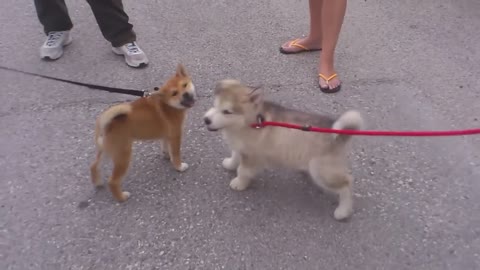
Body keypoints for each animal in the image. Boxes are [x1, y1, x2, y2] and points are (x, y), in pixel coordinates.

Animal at [90, 64, 195, 201]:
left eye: (184, 85)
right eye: (174, 93)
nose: (186, 94)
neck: (167, 105)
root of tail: (108, 123)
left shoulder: (167, 135)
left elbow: (165, 147)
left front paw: (167, 156)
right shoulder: (175, 135)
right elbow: (176, 153)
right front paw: (179, 166)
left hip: (107, 150)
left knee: (94, 165)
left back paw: (97, 182)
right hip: (123, 156)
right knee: (113, 181)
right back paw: (122, 197)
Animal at [202, 79, 364, 220]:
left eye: (227, 112)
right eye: (214, 105)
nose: (206, 120)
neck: (250, 122)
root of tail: (337, 135)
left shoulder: (251, 156)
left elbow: (243, 170)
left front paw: (239, 183)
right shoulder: (241, 147)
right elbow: (235, 155)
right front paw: (230, 164)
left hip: (322, 171)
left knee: (346, 183)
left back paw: (343, 211)